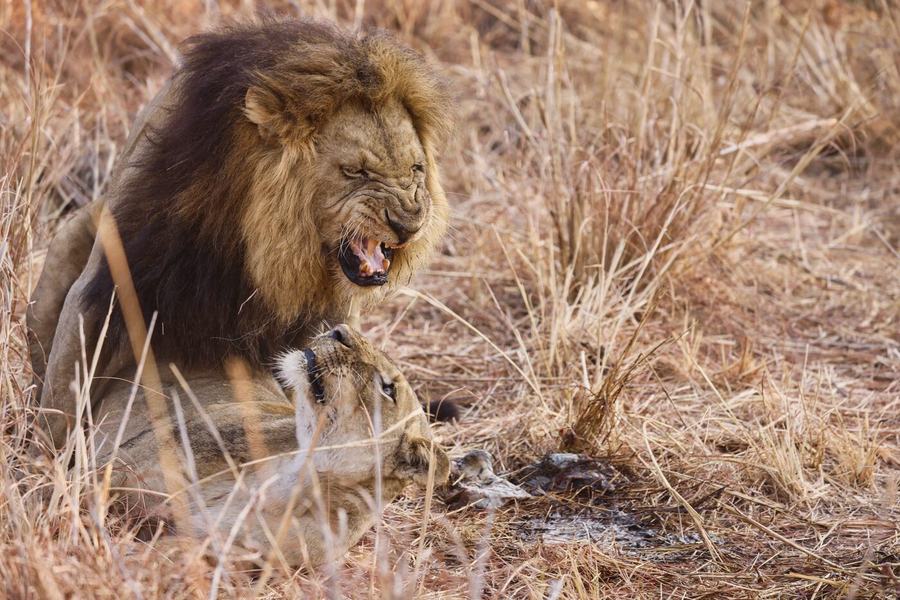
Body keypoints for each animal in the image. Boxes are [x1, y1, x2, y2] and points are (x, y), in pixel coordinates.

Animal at [28, 19, 453, 448]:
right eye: (356, 172)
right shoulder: (109, 279)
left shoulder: (321, 318)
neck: (255, 238)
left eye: (416, 169)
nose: (409, 223)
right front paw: (46, 459)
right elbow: (64, 391)